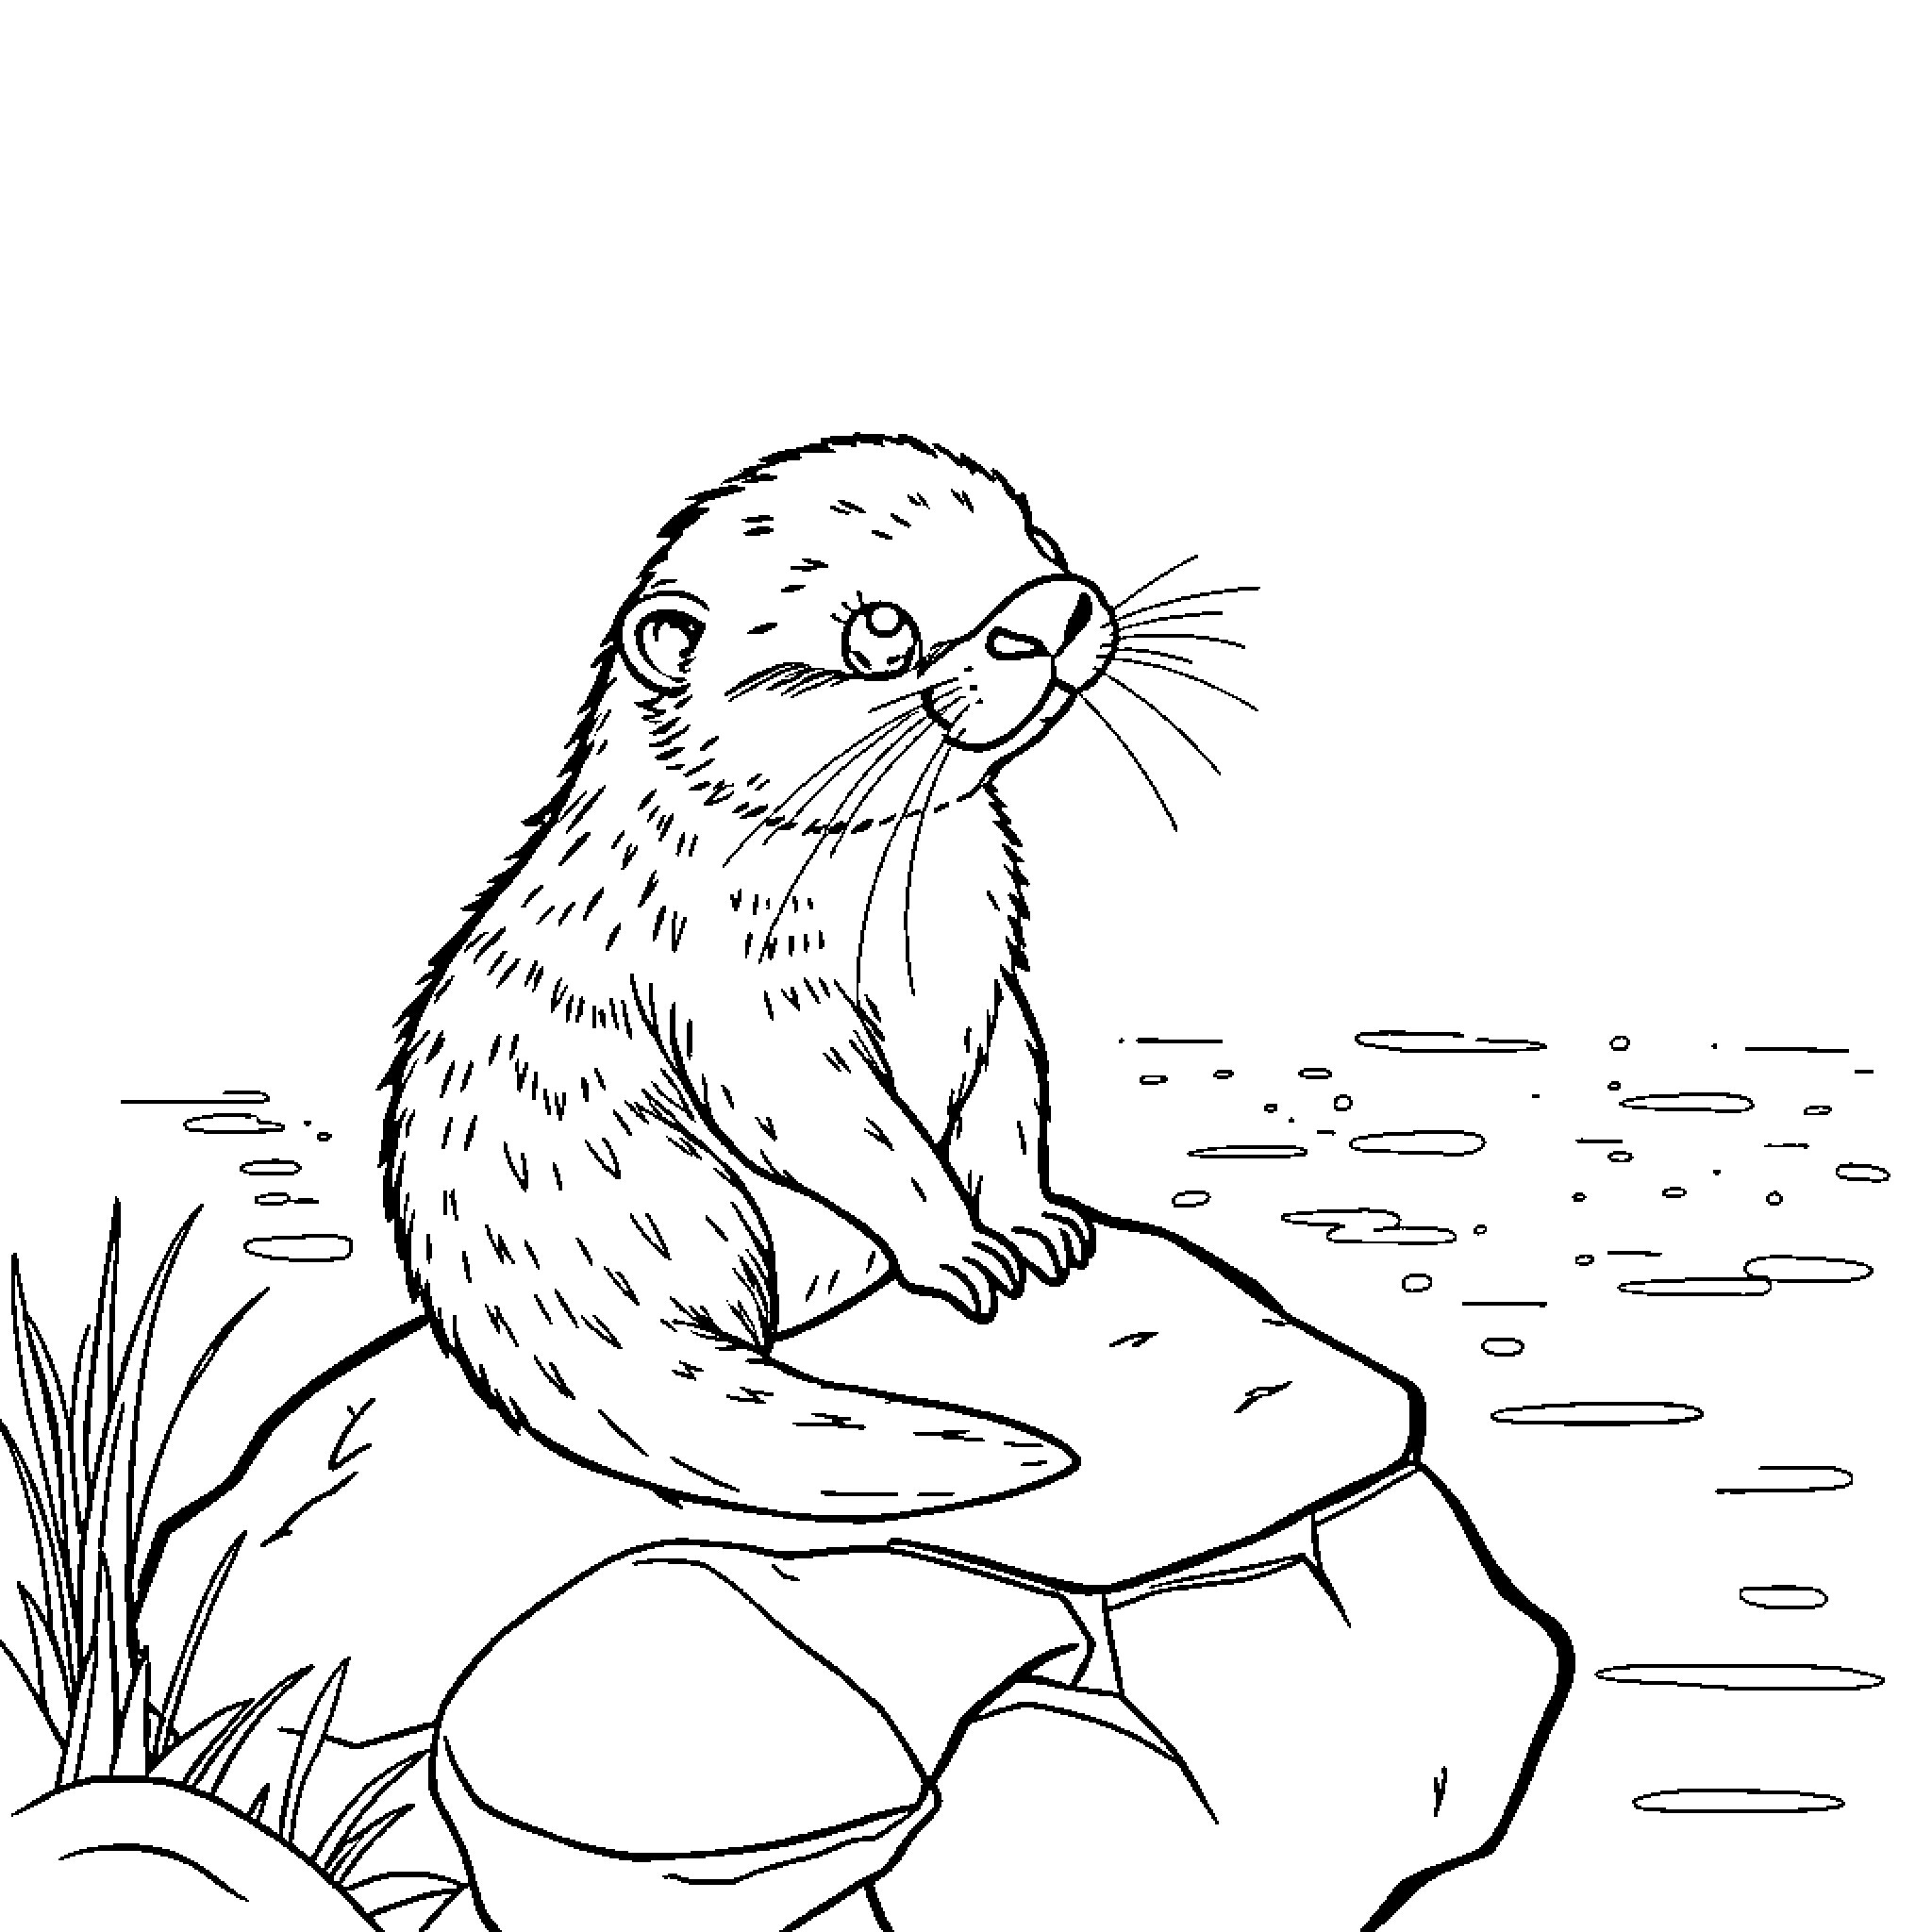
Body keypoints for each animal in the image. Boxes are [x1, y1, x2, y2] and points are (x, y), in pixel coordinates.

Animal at [381, 434, 1133, 1520]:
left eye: (1035, 544)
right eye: (879, 629)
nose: (1053, 610)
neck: (914, 919)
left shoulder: (992, 981)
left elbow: (1009, 1098)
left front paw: (1033, 1224)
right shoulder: (738, 989)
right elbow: (840, 1124)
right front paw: (960, 1250)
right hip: (669, 1187)